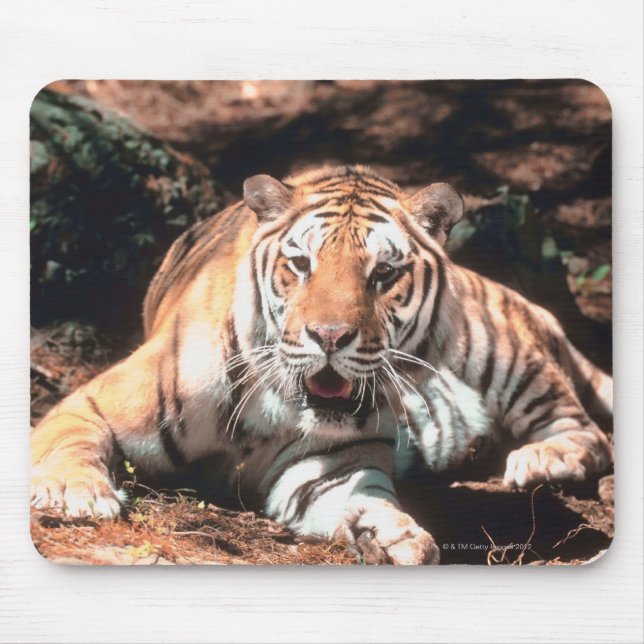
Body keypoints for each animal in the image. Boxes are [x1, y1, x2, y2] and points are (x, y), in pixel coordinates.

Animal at [30, 164, 613, 565]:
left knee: (584, 431)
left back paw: (541, 460)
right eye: (301, 263)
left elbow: (366, 497)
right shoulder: (90, 402)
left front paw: (395, 535)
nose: (330, 336)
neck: (273, 404)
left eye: (383, 273)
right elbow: (70, 443)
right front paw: (76, 495)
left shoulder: (331, 465)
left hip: (496, 351)